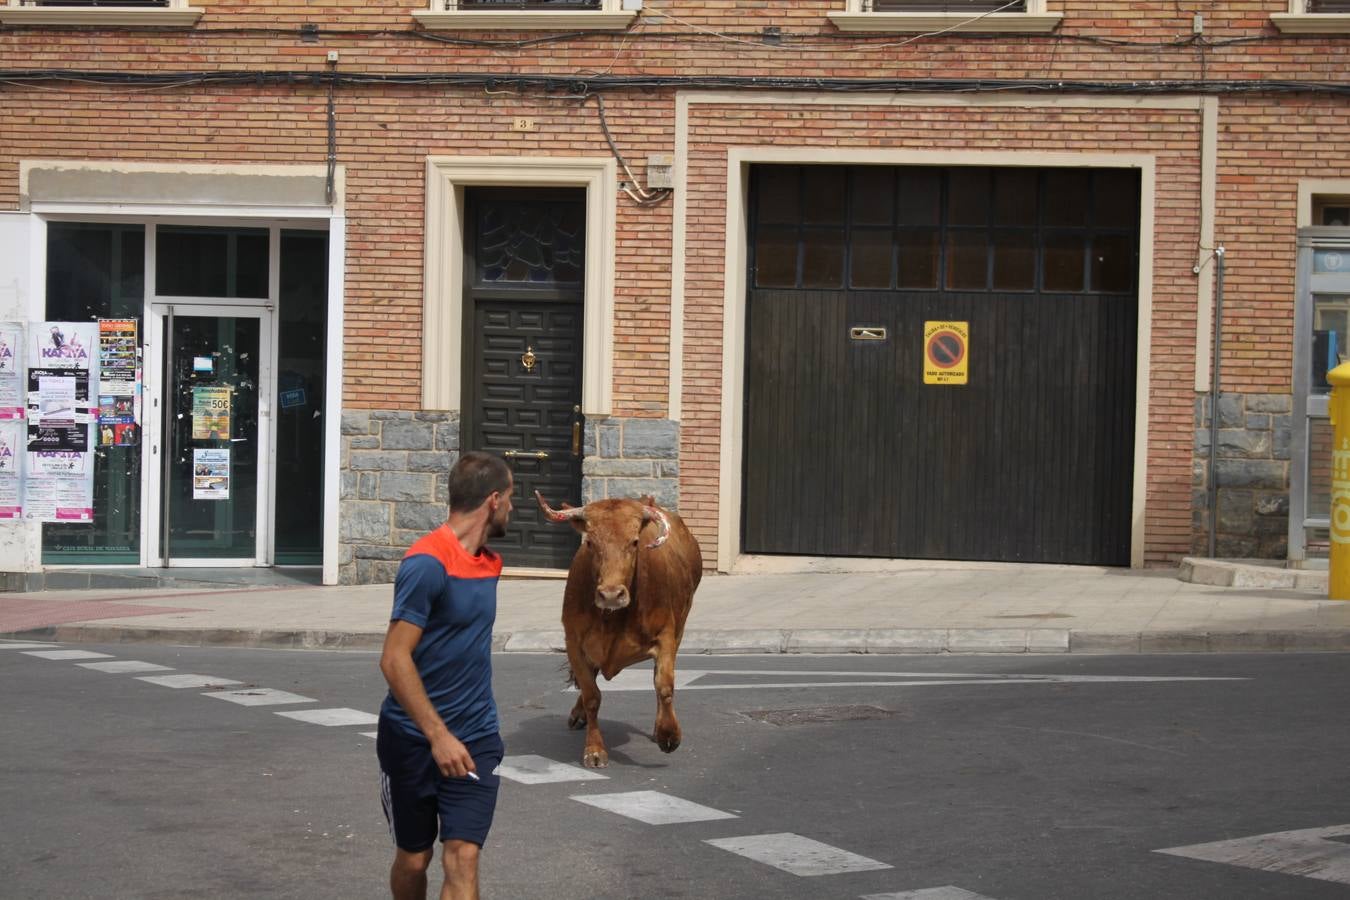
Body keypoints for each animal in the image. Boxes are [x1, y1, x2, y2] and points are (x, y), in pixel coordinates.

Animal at [537, 493, 707, 766]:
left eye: (635, 542)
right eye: (590, 543)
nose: (611, 595)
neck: (612, 619)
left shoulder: (666, 637)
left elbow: (664, 686)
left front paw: (668, 734)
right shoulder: (574, 642)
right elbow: (591, 694)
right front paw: (594, 749)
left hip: (680, 627)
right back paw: (578, 714)